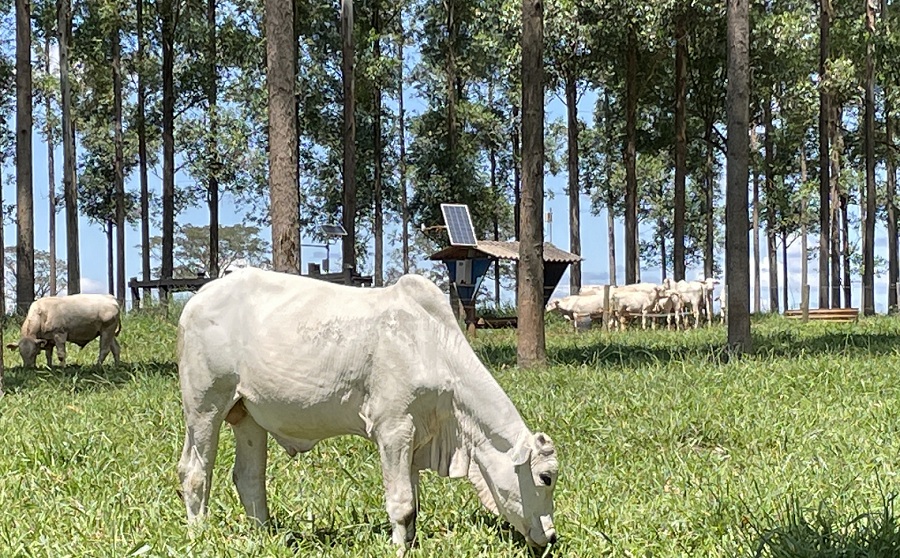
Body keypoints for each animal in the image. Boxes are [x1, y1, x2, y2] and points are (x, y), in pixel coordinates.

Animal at [174, 270, 556, 552]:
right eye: (546, 477)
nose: (551, 537)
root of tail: (198, 298)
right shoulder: (394, 429)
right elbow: (402, 503)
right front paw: (398, 548)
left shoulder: (415, 437)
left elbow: (413, 502)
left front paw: (410, 543)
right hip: (205, 405)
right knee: (194, 472)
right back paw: (198, 534)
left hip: (248, 414)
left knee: (249, 477)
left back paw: (264, 535)